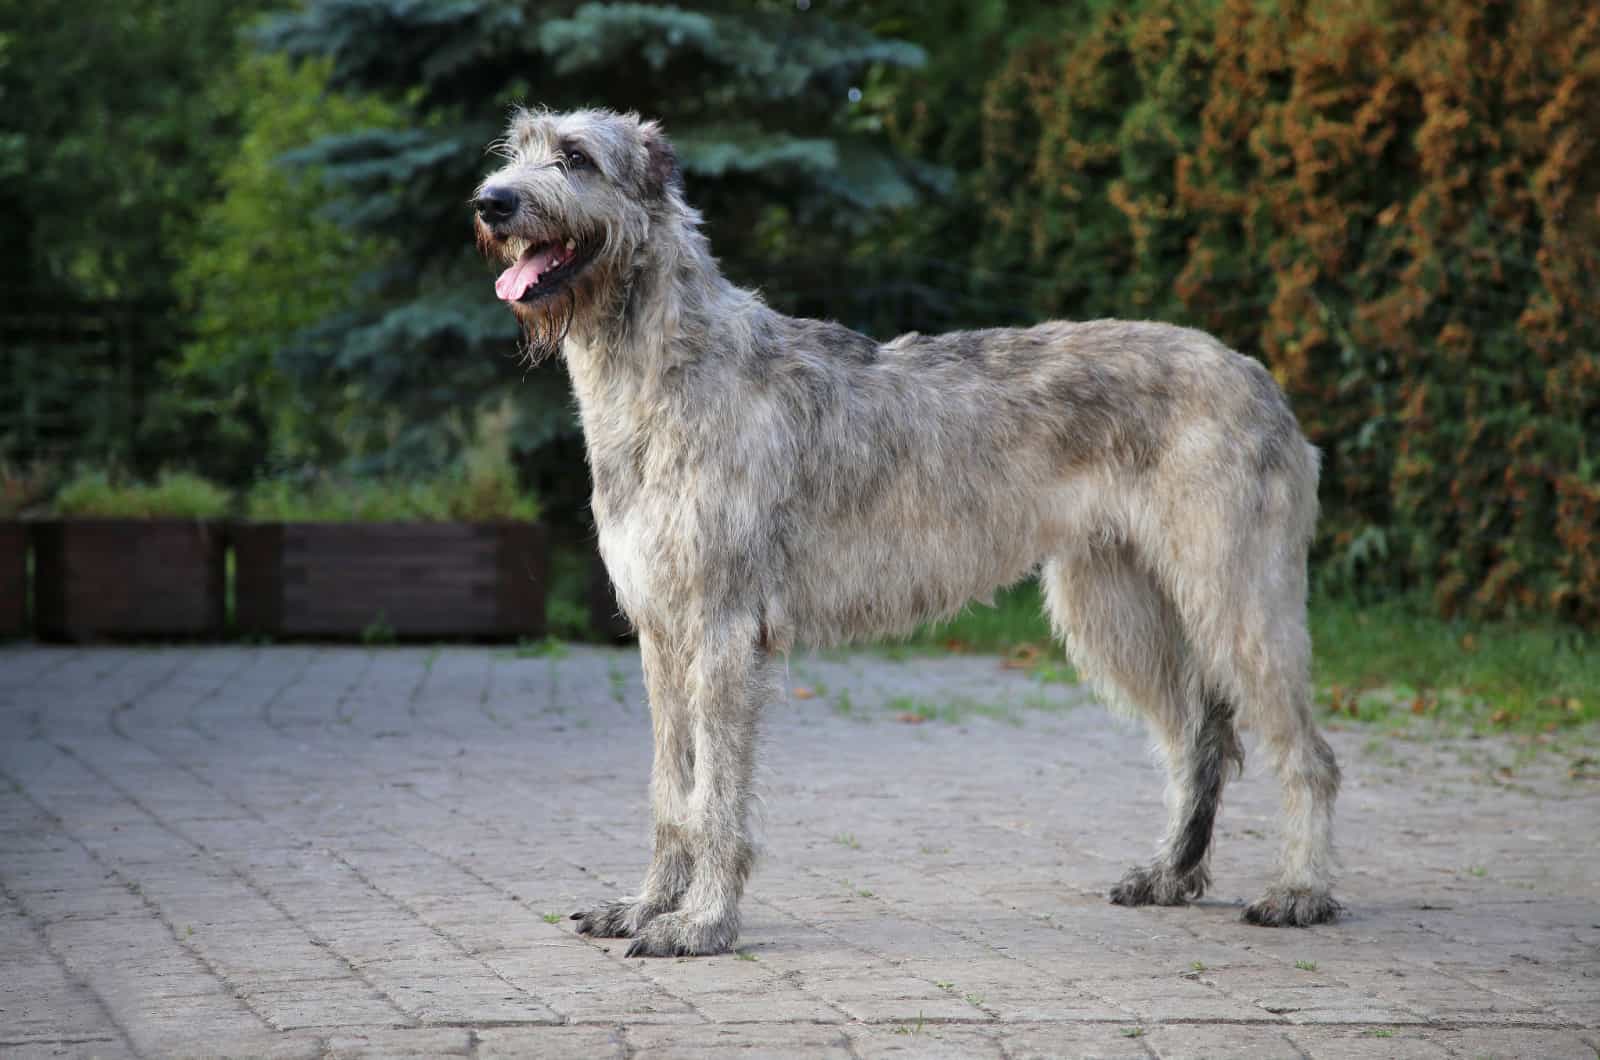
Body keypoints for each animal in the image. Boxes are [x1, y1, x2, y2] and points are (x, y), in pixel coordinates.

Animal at [470, 109, 1337, 960]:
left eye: (577, 157)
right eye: (518, 147)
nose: (490, 202)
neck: (662, 370)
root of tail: (1260, 377)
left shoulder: (722, 629)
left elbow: (714, 791)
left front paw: (702, 922)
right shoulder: (660, 630)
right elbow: (669, 787)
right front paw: (647, 905)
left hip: (1234, 597)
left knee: (1307, 752)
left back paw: (1300, 890)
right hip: (1113, 606)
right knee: (1195, 737)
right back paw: (1171, 872)